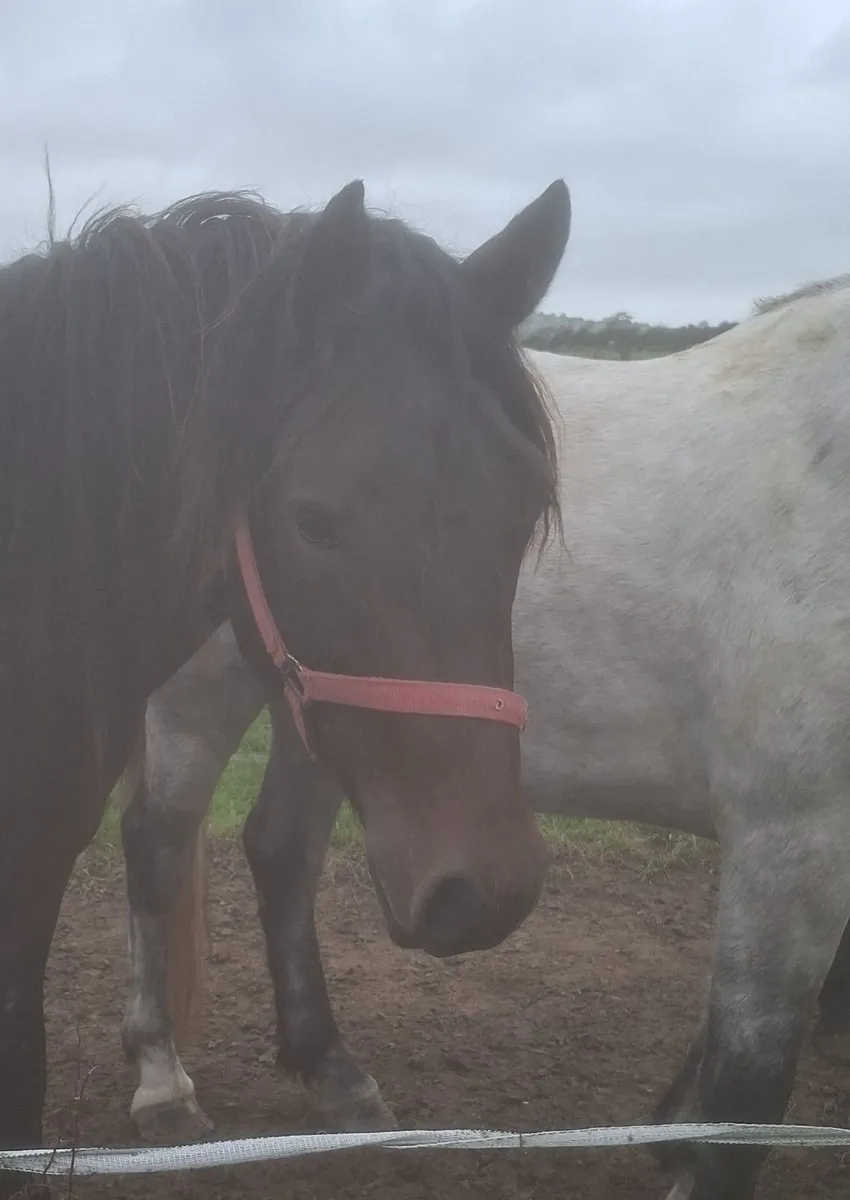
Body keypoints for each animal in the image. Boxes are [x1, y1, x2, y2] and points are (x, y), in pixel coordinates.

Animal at [127, 282, 850, 1200]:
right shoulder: (792, 836)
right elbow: (745, 1096)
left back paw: (334, 1074)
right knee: (155, 848)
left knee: (281, 852)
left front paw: (669, 1131)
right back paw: (161, 1082)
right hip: (196, 696)